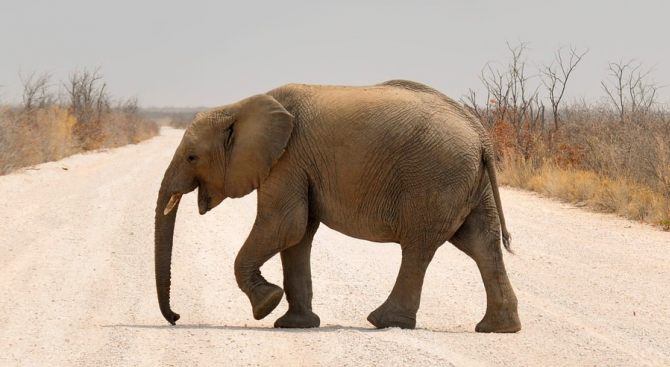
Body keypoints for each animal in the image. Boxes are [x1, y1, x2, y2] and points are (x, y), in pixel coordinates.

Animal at [155, 80, 524, 334]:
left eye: (192, 157)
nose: (176, 317)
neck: (239, 107)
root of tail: (480, 134)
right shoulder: (297, 165)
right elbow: (297, 235)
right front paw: (294, 324)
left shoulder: (287, 160)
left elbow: (284, 225)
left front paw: (266, 306)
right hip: (470, 182)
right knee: (481, 243)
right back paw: (498, 328)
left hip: (435, 178)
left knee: (419, 247)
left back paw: (383, 321)